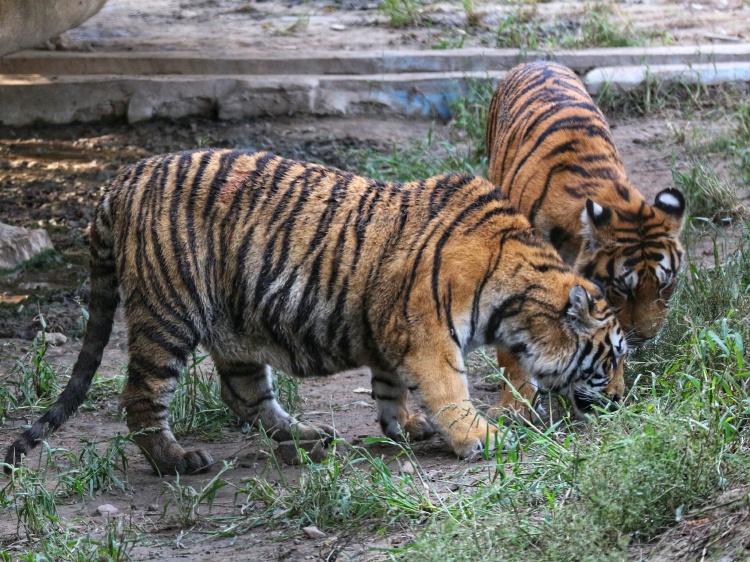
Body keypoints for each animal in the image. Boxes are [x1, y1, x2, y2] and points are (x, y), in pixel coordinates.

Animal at [5, 149, 628, 472]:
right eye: (613, 357)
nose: (625, 400)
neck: (518, 299)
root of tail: (120, 182)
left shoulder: (393, 328)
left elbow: (390, 385)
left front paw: (405, 427)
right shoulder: (428, 332)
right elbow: (450, 387)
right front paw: (482, 437)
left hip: (233, 327)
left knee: (244, 394)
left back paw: (305, 438)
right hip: (168, 314)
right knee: (140, 397)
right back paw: (177, 460)